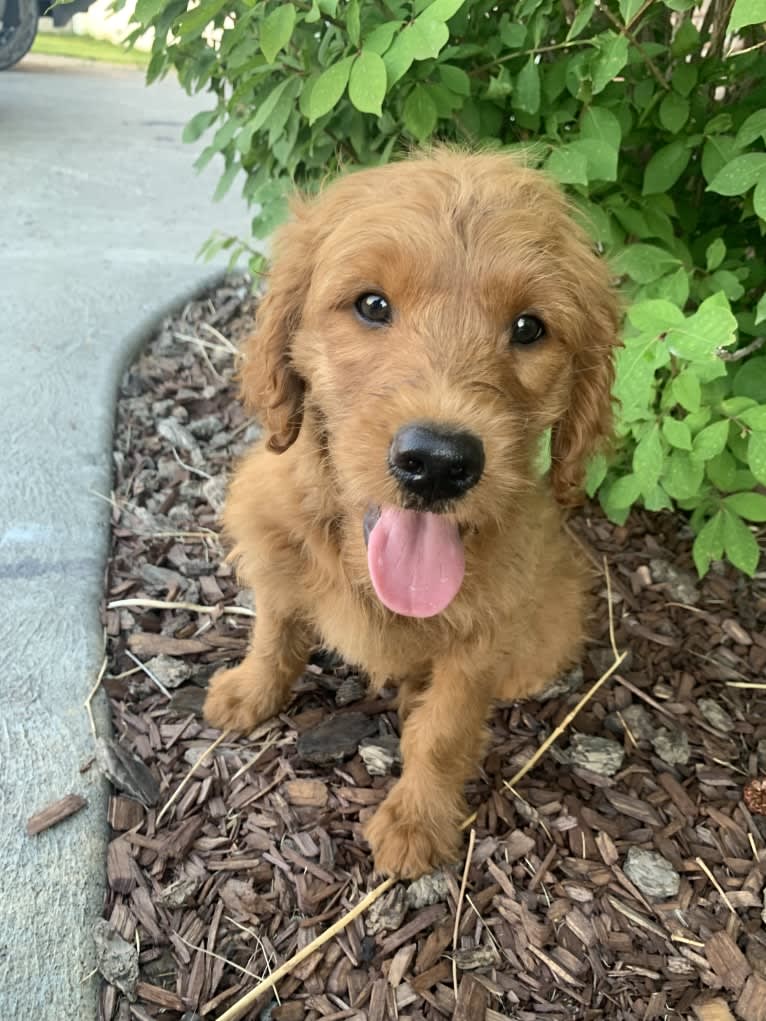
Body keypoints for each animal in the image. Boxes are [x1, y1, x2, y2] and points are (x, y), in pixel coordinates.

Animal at [205, 148, 625, 882]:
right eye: (372, 305)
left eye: (529, 327)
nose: (437, 462)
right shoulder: (275, 544)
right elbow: (275, 630)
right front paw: (249, 692)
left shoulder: (483, 637)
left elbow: (445, 732)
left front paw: (416, 822)